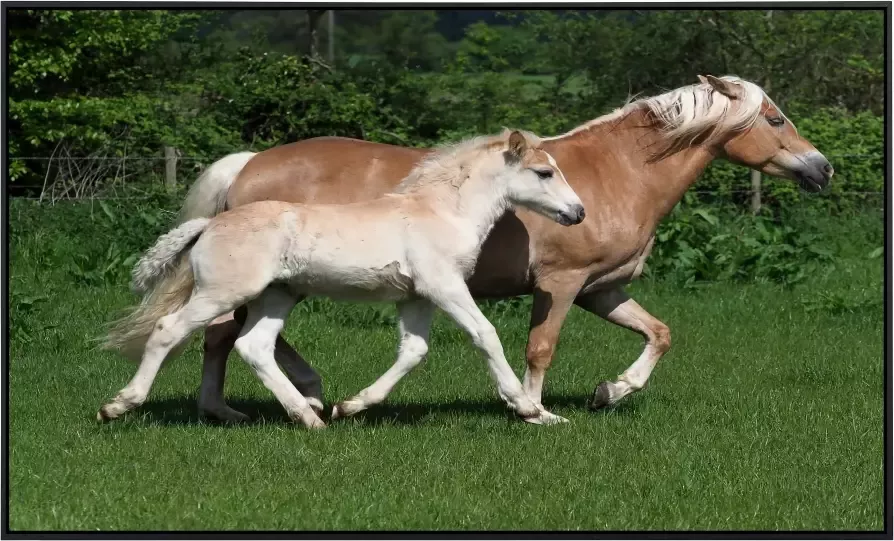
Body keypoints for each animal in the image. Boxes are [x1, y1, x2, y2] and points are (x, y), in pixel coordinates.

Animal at [101, 130, 588, 426]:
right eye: (544, 172)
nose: (578, 212)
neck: (440, 212)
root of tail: (209, 224)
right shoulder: (445, 286)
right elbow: (485, 334)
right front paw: (530, 410)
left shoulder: (416, 297)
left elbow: (414, 351)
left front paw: (350, 406)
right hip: (223, 292)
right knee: (169, 330)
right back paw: (118, 405)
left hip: (276, 297)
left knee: (253, 346)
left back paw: (309, 416)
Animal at [182, 76, 832, 422]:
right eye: (776, 119)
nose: (821, 168)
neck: (614, 173)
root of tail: (250, 163)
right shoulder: (561, 285)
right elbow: (540, 349)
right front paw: (532, 408)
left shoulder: (602, 290)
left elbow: (660, 334)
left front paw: (610, 391)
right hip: (263, 281)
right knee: (221, 334)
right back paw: (243, 406)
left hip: (281, 283)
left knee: (239, 336)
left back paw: (311, 394)